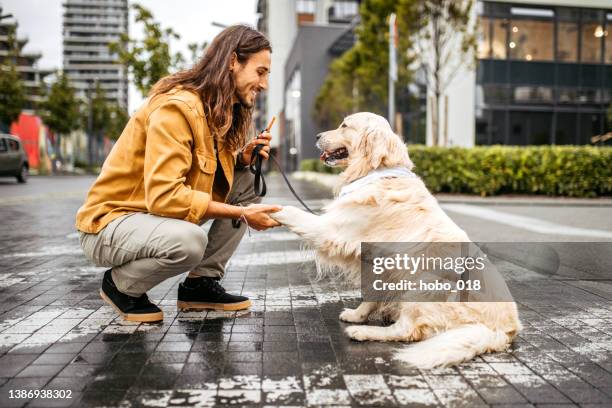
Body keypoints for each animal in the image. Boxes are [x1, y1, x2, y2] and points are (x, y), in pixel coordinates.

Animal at [272, 112, 520, 370]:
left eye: (345, 125)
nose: (318, 136)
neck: (377, 173)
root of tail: (504, 331)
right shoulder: (376, 263)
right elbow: (371, 294)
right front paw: (358, 314)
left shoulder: (332, 229)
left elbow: (294, 213)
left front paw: (267, 209)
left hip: (423, 284)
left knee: (408, 331)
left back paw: (365, 332)